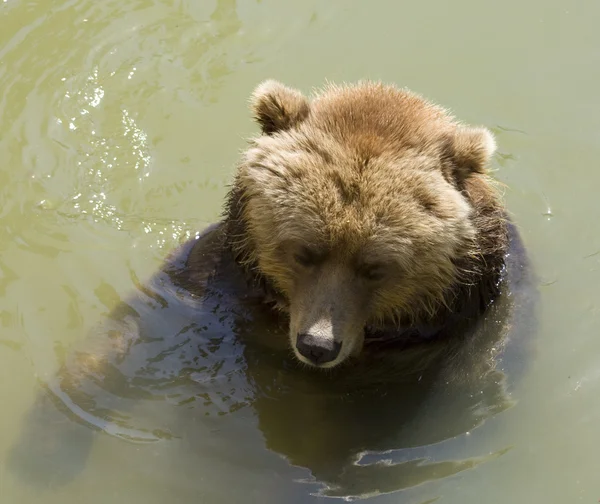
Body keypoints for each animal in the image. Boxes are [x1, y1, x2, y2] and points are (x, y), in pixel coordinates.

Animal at [7, 80, 528, 494]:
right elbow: (129, 330)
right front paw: (44, 446)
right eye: (304, 251)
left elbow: (331, 435)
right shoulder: (215, 283)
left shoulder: (422, 351)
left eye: (375, 266)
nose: (318, 344)